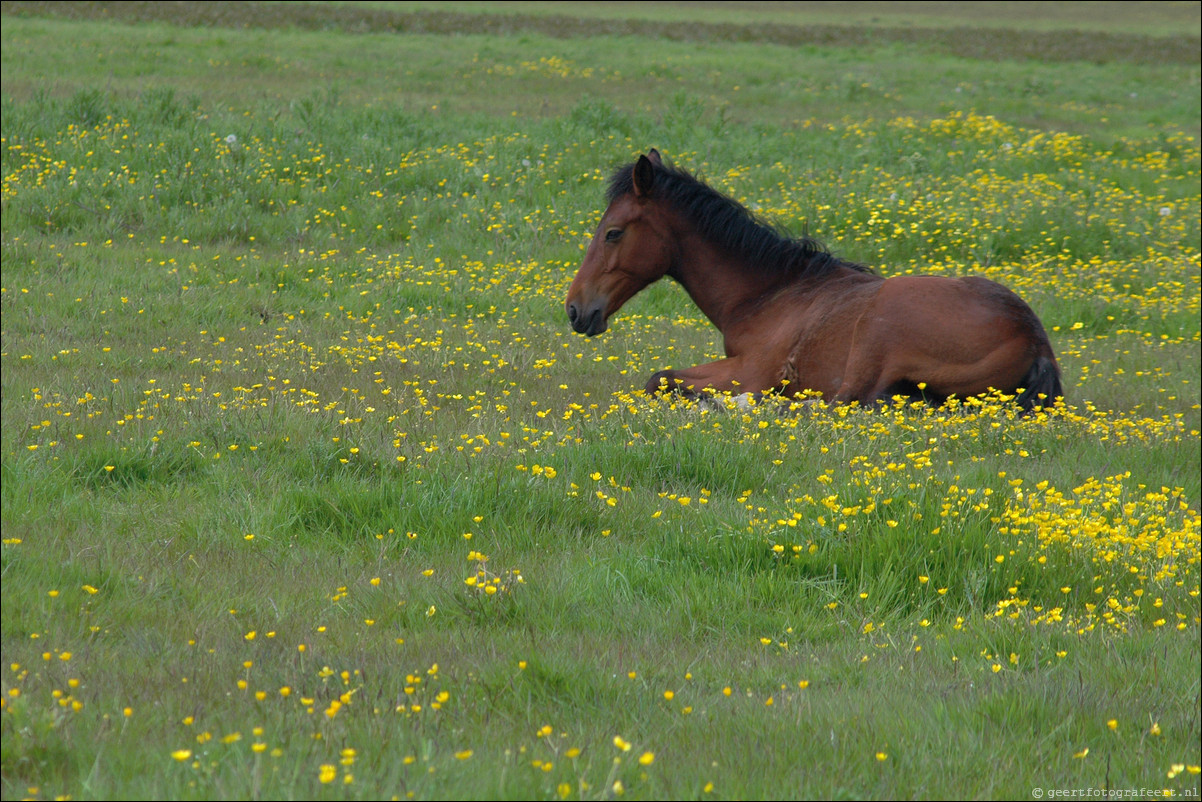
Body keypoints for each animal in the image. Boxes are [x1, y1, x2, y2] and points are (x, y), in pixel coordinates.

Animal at [562, 150, 1062, 413]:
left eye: (613, 233)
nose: (575, 308)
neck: (771, 293)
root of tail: (1032, 338)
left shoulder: (750, 370)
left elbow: (659, 378)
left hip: (878, 328)